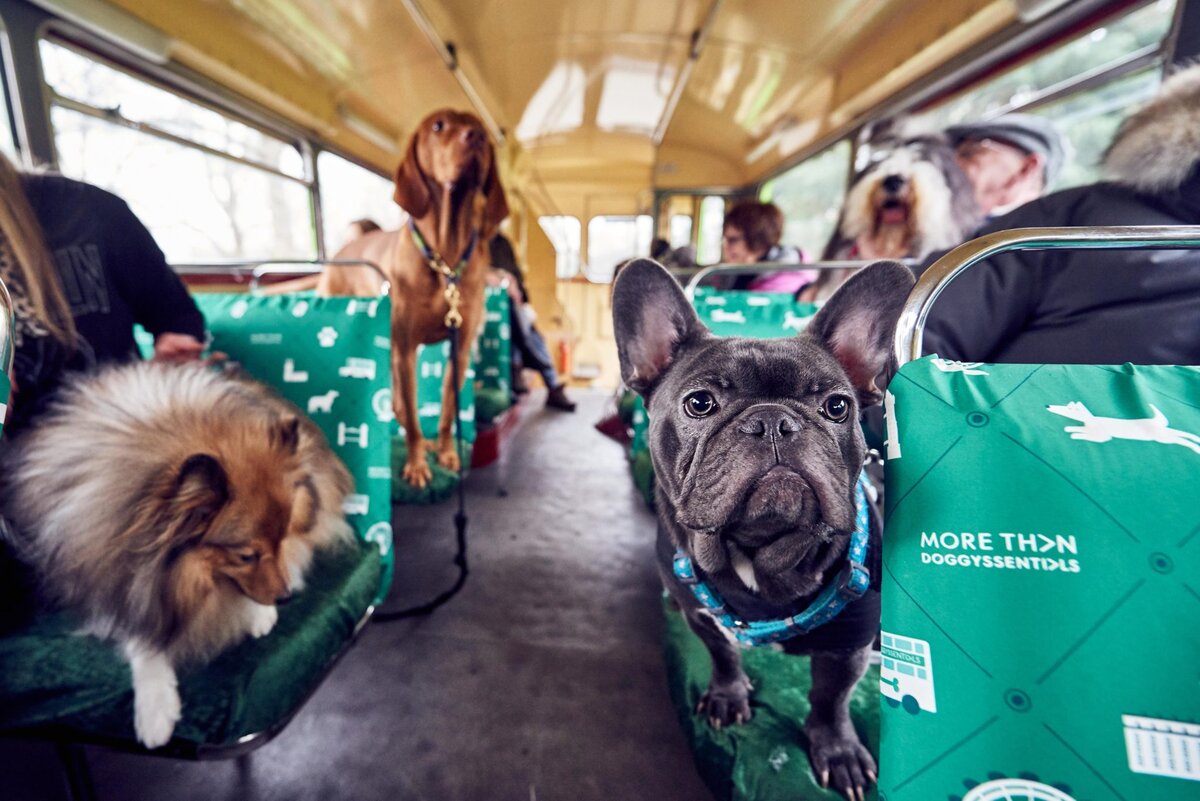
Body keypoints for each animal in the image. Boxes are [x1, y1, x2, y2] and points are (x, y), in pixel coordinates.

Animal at [1, 359, 350, 748]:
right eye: (246, 556)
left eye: (282, 535)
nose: (287, 597)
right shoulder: (109, 577)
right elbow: (141, 627)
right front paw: (156, 709)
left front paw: (260, 611)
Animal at [319, 110, 506, 489]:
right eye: (438, 126)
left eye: (478, 126)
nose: (476, 137)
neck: (445, 257)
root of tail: (341, 253)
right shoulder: (405, 348)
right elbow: (415, 419)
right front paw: (418, 465)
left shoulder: (459, 347)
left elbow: (448, 410)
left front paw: (447, 452)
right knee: (401, 407)